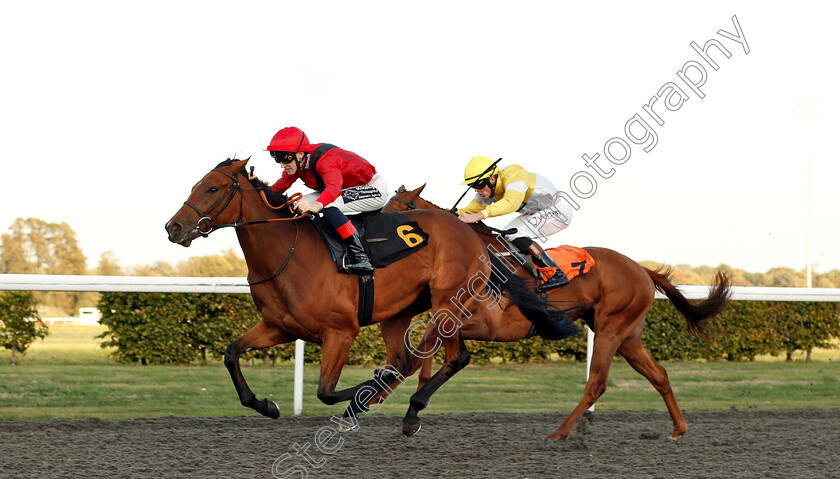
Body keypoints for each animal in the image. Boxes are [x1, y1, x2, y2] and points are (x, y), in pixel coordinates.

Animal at [162, 160, 576, 432]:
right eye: (197, 184)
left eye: (212, 188)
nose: (173, 227)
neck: (289, 252)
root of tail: (470, 235)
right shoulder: (280, 327)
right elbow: (232, 353)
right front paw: (268, 405)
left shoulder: (340, 332)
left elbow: (327, 391)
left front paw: (363, 396)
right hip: (402, 312)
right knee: (413, 359)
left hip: (448, 301)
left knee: (446, 358)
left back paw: (405, 411)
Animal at [384, 186, 732, 440]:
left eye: (395, 216)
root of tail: (642, 270)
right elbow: (431, 349)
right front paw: (413, 402)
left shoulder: (487, 324)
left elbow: (433, 347)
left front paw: (411, 404)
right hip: (629, 336)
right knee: (658, 374)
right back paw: (678, 429)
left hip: (611, 330)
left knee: (597, 383)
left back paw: (560, 433)